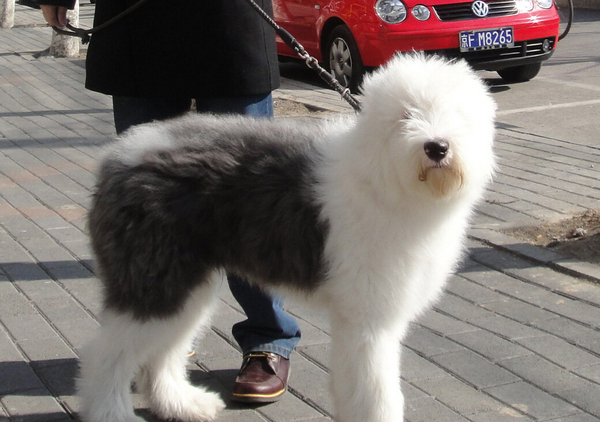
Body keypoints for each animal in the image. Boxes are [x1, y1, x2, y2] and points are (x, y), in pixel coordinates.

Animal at [79, 53, 496, 422]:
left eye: (457, 115)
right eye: (406, 115)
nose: (437, 146)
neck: (384, 182)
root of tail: (118, 156)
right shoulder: (367, 318)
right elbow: (375, 391)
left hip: (185, 283)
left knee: (164, 352)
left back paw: (183, 405)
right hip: (152, 279)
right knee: (104, 354)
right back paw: (112, 413)